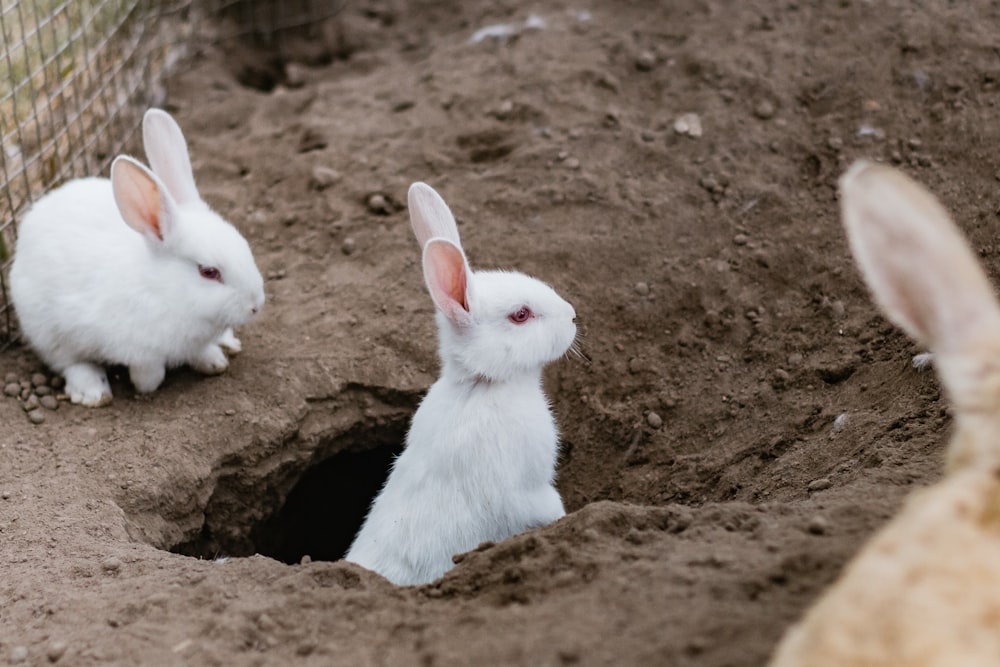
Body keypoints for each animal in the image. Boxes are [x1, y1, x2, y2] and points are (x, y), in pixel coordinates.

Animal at [8, 108, 266, 408]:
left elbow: (201, 352)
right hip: (47, 331)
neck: (163, 290)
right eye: (209, 272)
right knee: (70, 362)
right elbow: (149, 371)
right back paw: (92, 392)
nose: (255, 305)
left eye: (245, 245)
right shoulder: (140, 351)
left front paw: (214, 362)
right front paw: (147, 387)